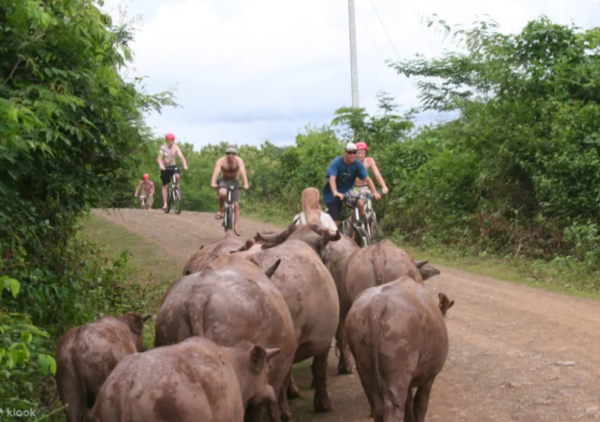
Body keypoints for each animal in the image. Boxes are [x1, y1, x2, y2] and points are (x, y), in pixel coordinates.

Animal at [342, 276, 450, 422]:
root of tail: (378, 303)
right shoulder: (430, 376)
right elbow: (420, 405)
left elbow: (409, 403)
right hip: (399, 372)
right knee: (394, 410)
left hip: (364, 367)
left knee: (378, 407)